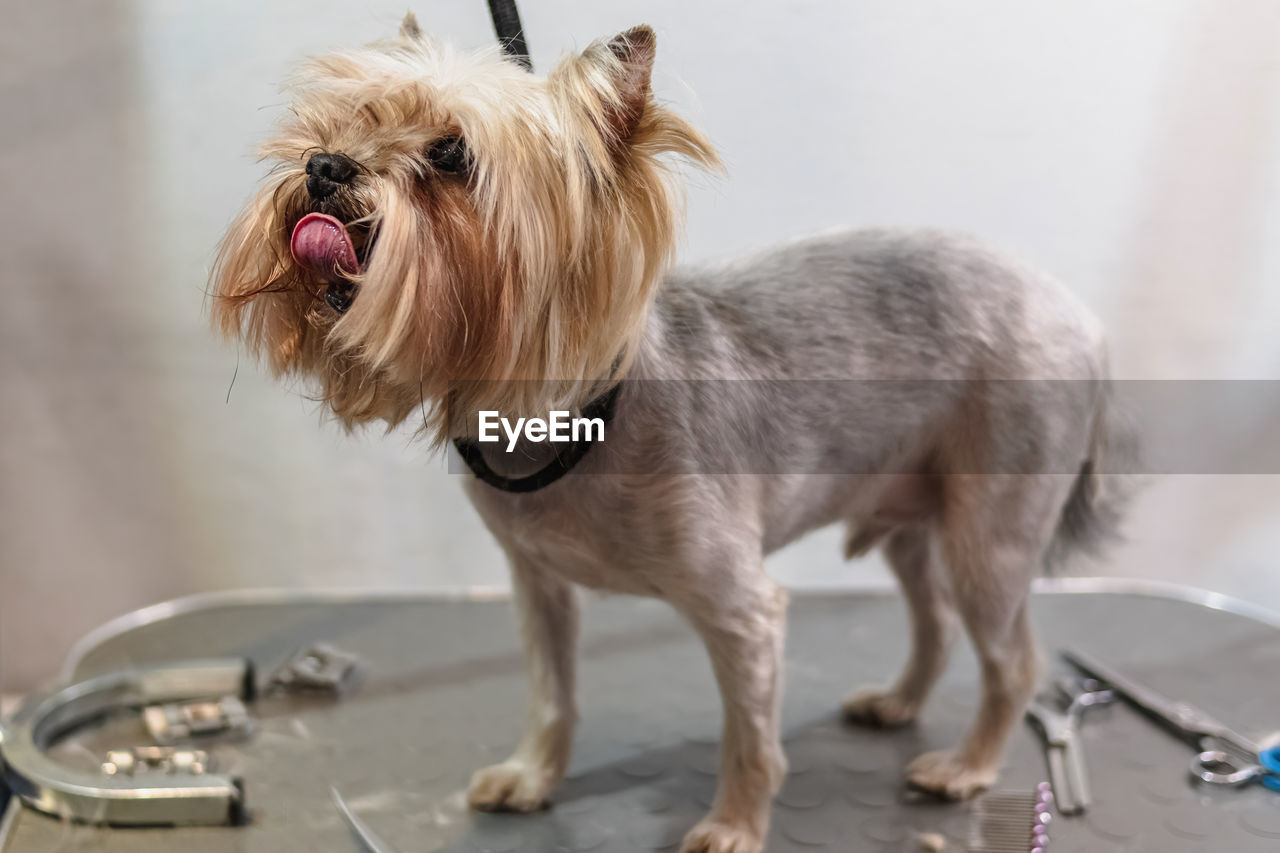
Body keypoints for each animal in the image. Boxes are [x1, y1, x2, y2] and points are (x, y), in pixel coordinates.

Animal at [215, 14, 1126, 850]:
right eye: (346, 121)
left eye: (450, 155)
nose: (323, 166)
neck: (572, 417)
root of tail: (1080, 318)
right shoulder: (536, 582)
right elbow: (553, 692)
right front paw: (532, 775)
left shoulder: (742, 609)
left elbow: (750, 739)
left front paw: (733, 825)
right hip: (913, 509)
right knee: (932, 615)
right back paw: (900, 701)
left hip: (993, 525)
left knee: (1012, 659)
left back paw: (967, 765)